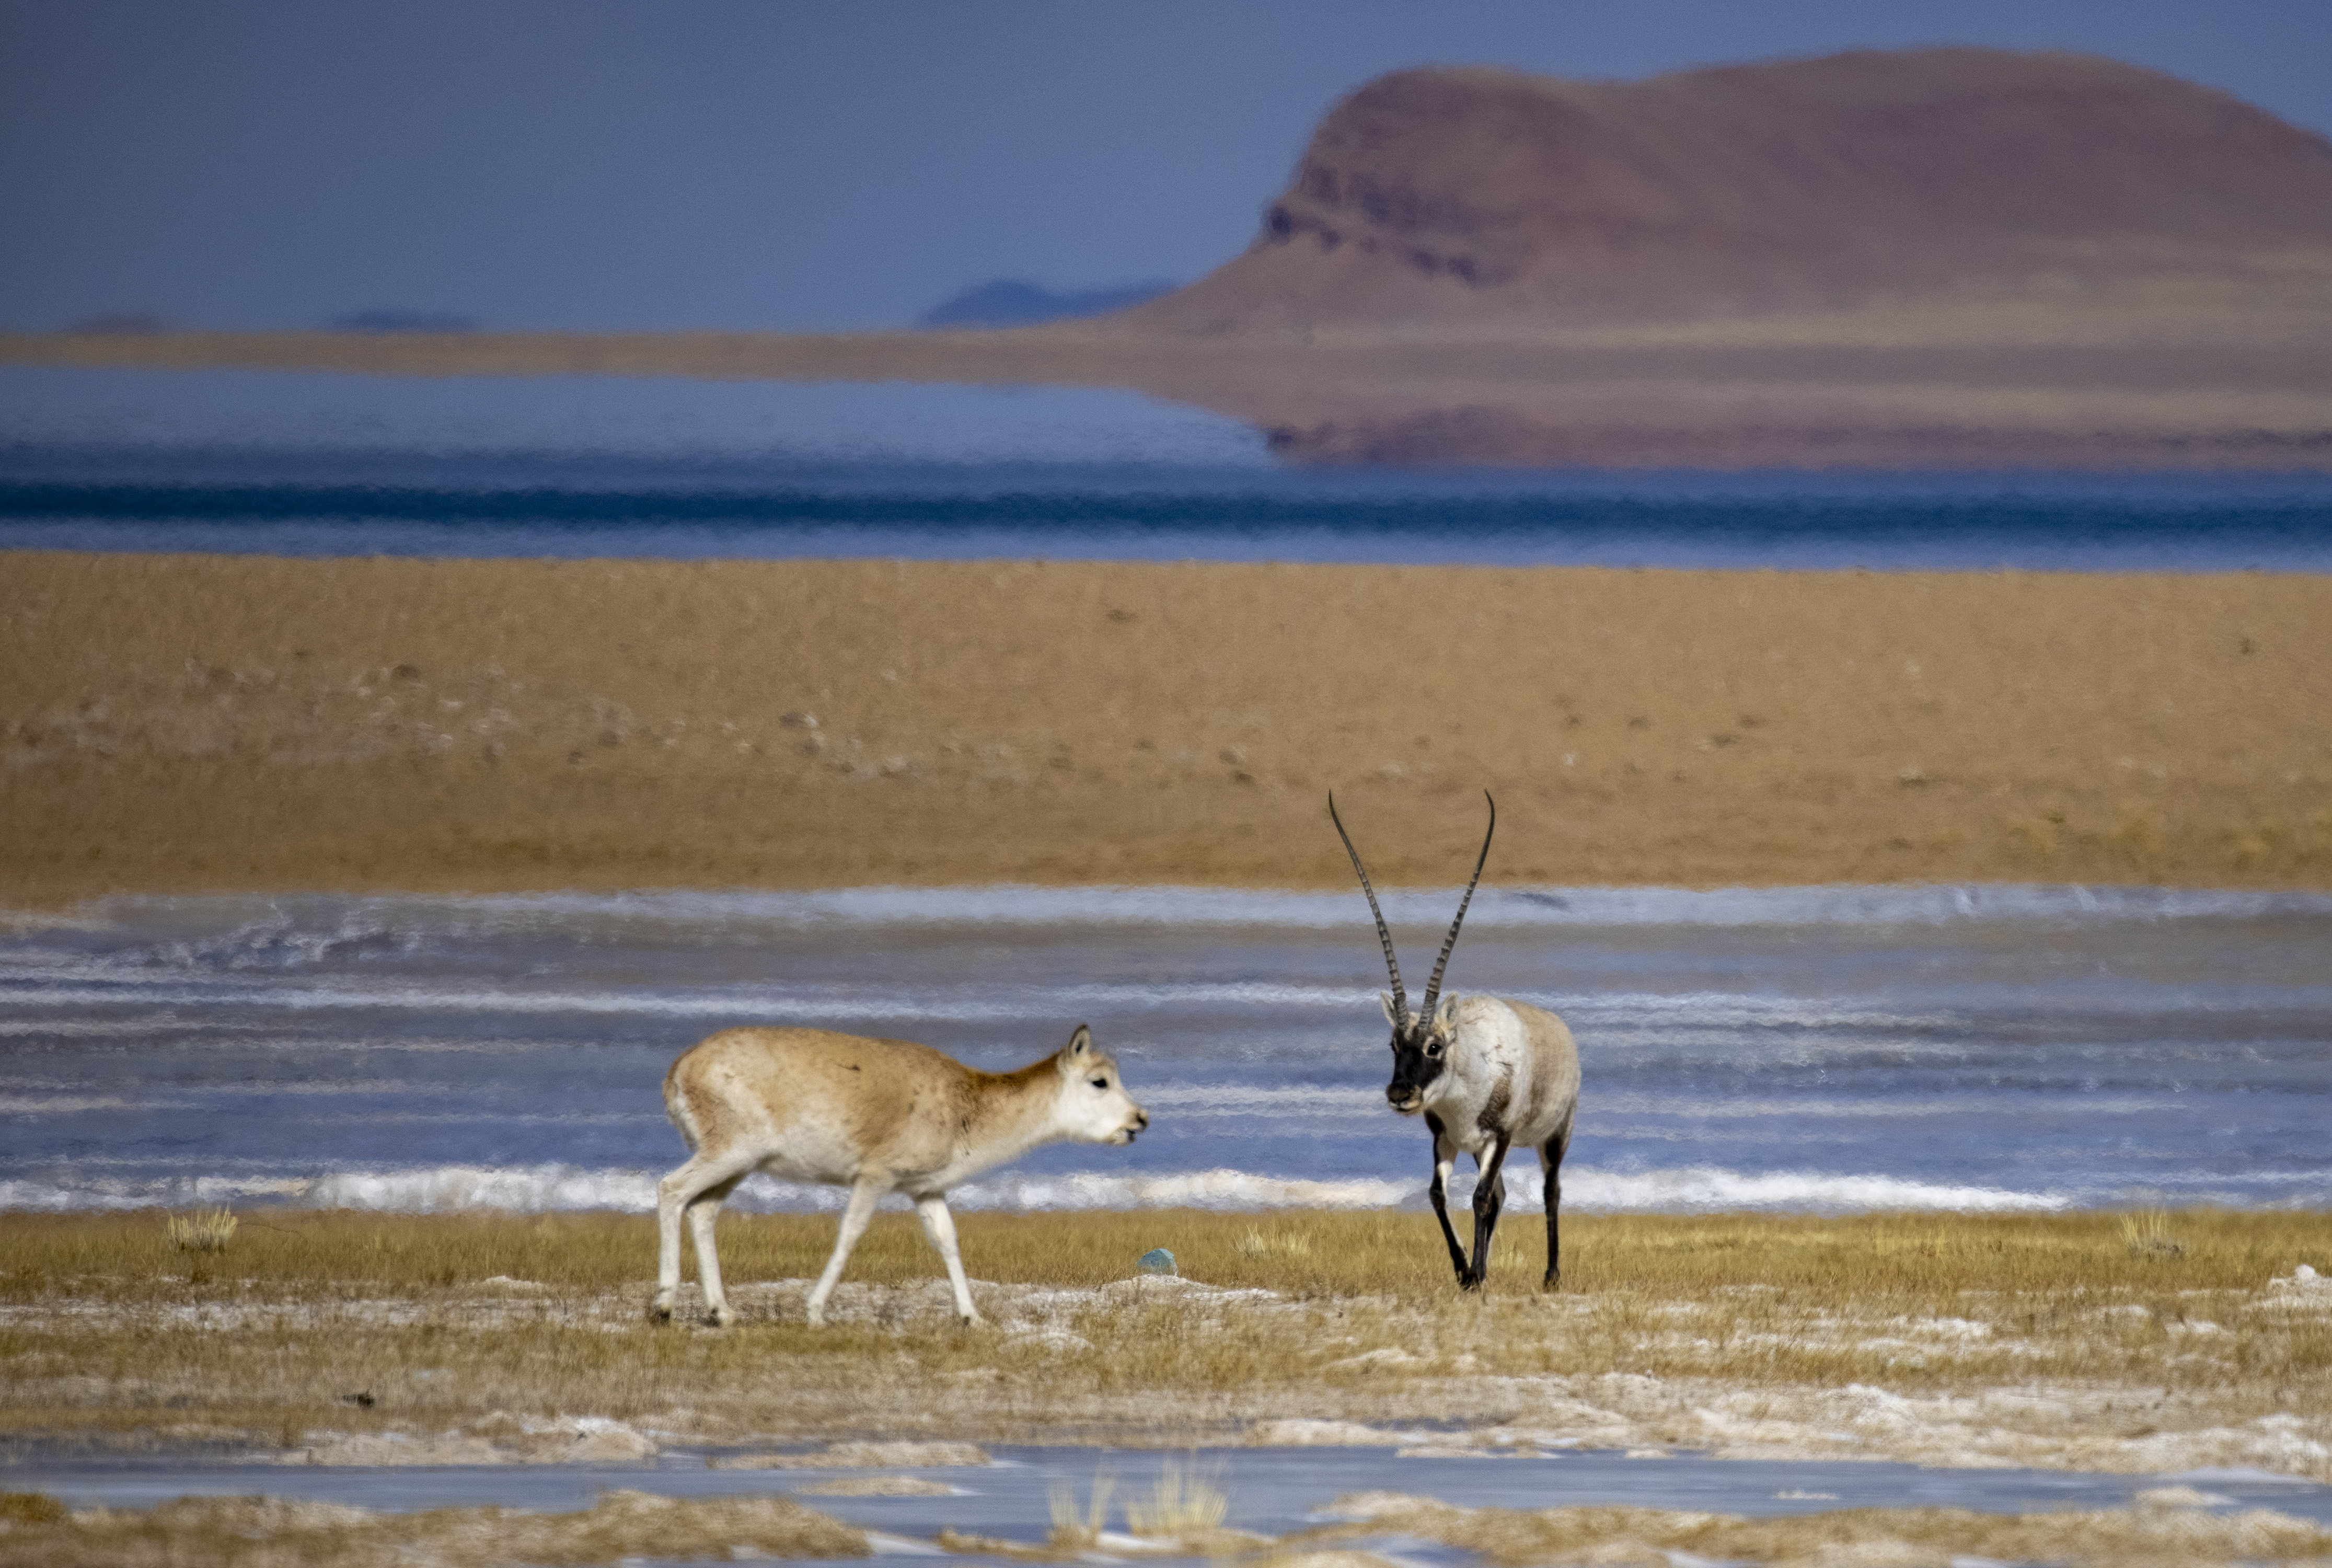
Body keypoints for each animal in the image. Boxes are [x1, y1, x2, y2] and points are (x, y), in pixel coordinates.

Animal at [653, 1022, 1142, 1325]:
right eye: (1100, 1081)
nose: (1140, 1121)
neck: (964, 1102)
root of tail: (681, 1066)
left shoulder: (926, 1191)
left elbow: (948, 1241)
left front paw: (973, 1318)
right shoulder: (875, 1178)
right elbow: (849, 1233)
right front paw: (815, 1311)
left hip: (738, 1166)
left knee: (703, 1211)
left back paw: (722, 1313)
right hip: (730, 1154)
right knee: (671, 1190)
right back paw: (663, 1305)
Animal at [1334, 788, 1586, 1288]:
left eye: (1435, 1046)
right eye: (1394, 1046)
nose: (1401, 1094)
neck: (1471, 1064)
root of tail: (1561, 1030)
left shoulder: (1500, 1137)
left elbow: (1481, 1197)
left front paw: (1477, 1274)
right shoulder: (1447, 1138)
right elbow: (1438, 1194)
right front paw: (1465, 1271)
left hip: (1555, 1135)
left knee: (1550, 1191)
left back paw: (1551, 1276)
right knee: (1504, 1191)